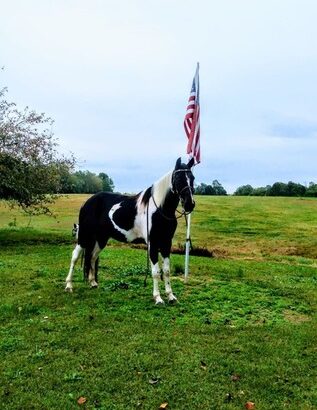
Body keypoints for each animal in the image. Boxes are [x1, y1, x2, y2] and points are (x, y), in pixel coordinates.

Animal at [65, 157, 195, 304]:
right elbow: (156, 272)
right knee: (75, 257)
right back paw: (69, 285)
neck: (160, 209)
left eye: (192, 178)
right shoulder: (153, 244)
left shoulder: (166, 243)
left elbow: (166, 271)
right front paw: (158, 298)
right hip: (84, 236)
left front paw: (171, 296)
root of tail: (87, 202)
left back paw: (93, 283)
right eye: (178, 178)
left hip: (100, 239)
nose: (189, 204)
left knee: (92, 257)